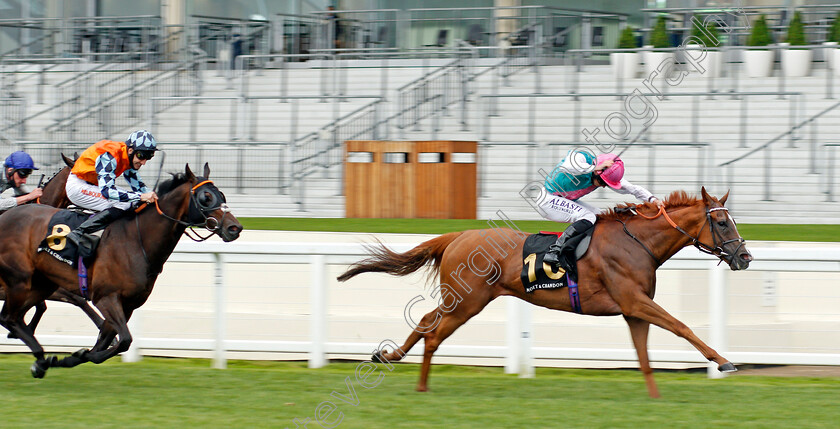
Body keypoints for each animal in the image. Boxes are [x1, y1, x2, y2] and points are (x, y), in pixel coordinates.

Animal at [0, 162, 243, 376]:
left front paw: (73, 356)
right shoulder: (106, 298)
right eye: (205, 197)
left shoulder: (128, 304)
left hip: (41, 285)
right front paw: (78, 355)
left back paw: (40, 359)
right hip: (20, 281)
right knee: (9, 317)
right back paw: (40, 358)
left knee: (14, 317)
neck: (137, 240)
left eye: (222, 195)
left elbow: (106, 340)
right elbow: (124, 339)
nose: (235, 228)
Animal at [340, 187, 756, 398]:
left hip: (461, 299)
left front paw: (654, 396)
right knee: (434, 332)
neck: (637, 241)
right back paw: (421, 383)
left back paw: (392, 358)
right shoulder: (634, 301)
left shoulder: (633, 309)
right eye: (722, 222)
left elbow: (643, 354)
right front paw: (724, 362)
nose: (744, 257)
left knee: (428, 320)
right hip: (468, 302)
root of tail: (458, 236)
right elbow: (681, 326)